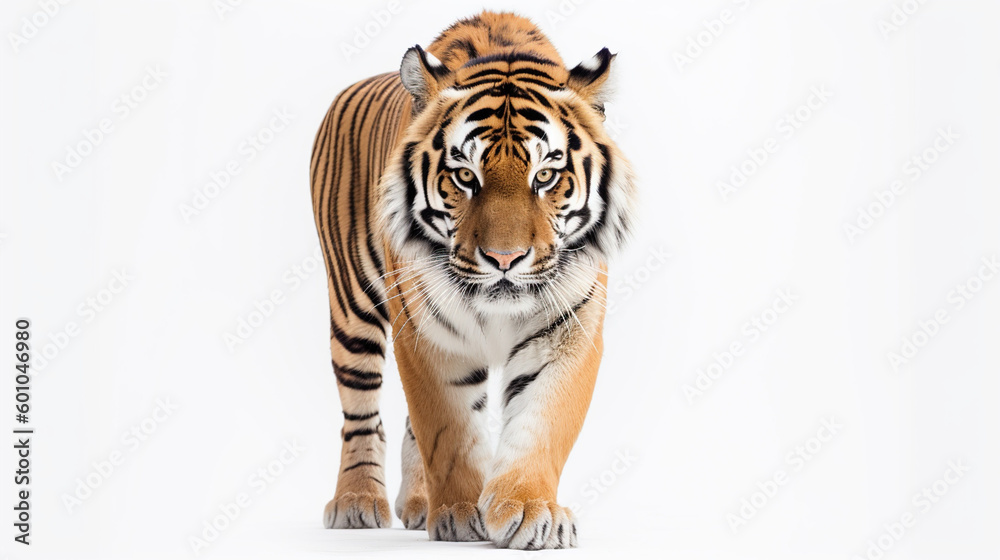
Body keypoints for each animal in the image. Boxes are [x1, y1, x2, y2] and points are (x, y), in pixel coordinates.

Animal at [309, 11, 636, 549]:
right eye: (465, 176)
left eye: (545, 177)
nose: (505, 259)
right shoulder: (427, 333)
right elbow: (448, 428)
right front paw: (461, 513)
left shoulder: (568, 326)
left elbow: (542, 423)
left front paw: (529, 510)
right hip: (352, 308)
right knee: (361, 414)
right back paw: (358, 501)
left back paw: (417, 504)